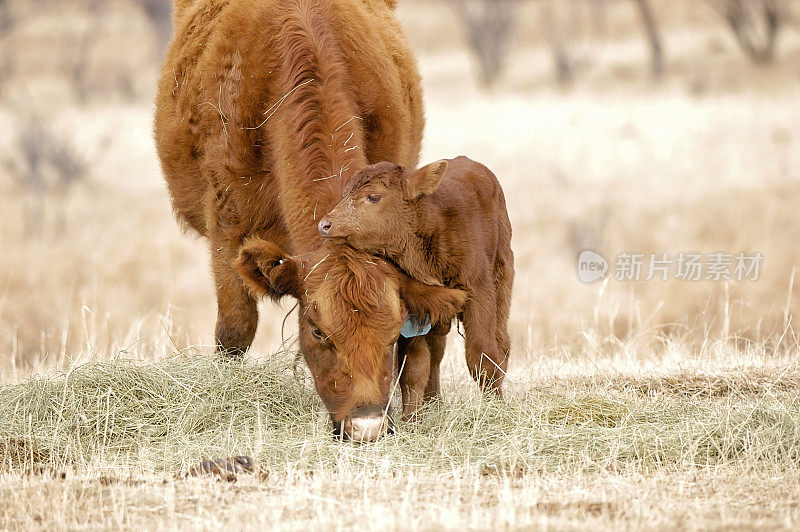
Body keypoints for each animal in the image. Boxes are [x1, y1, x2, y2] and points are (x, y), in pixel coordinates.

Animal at [318, 156, 512, 414]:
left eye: (373, 197)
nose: (325, 224)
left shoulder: (479, 293)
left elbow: (482, 356)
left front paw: (495, 410)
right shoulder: (418, 306)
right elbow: (413, 368)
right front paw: (411, 418)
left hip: (503, 278)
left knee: (502, 342)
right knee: (436, 353)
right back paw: (433, 402)